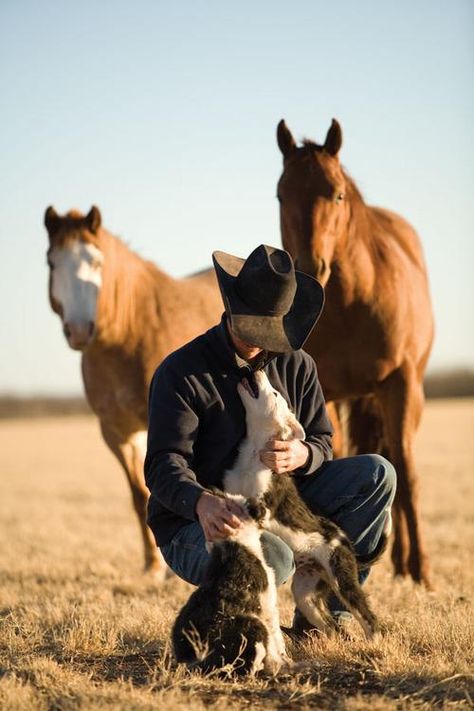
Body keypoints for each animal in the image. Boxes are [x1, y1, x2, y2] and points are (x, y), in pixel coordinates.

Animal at [44, 203, 222, 580]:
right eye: (52, 263)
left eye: (96, 262)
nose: (79, 330)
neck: (128, 335)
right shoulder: (117, 432)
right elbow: (139, 495)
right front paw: (153, 567)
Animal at [172, 498, 286, 676]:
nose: (268, 508)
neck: (235, 544)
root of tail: (196, 657)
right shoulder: (267, 605)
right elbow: (276, 640)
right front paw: (281, 663)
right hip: (253, 624)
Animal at [224, 372, 384, 640]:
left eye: (275, 393)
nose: (257, 372)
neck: (254, 451)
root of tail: (346, 545)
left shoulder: (265, 505)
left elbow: (253, 507)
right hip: (306, 590)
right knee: (329, 625)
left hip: (341, 578)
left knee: (368, 616)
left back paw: (375, 642)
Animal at [276, 119, 436, 588]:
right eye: (281, 195)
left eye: (337, 194)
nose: (309, 267)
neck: (350, 303)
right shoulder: (325, 391)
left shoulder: (400, 385)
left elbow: (406, 472)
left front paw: (422, 572)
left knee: (398, 459)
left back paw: (405, 564)